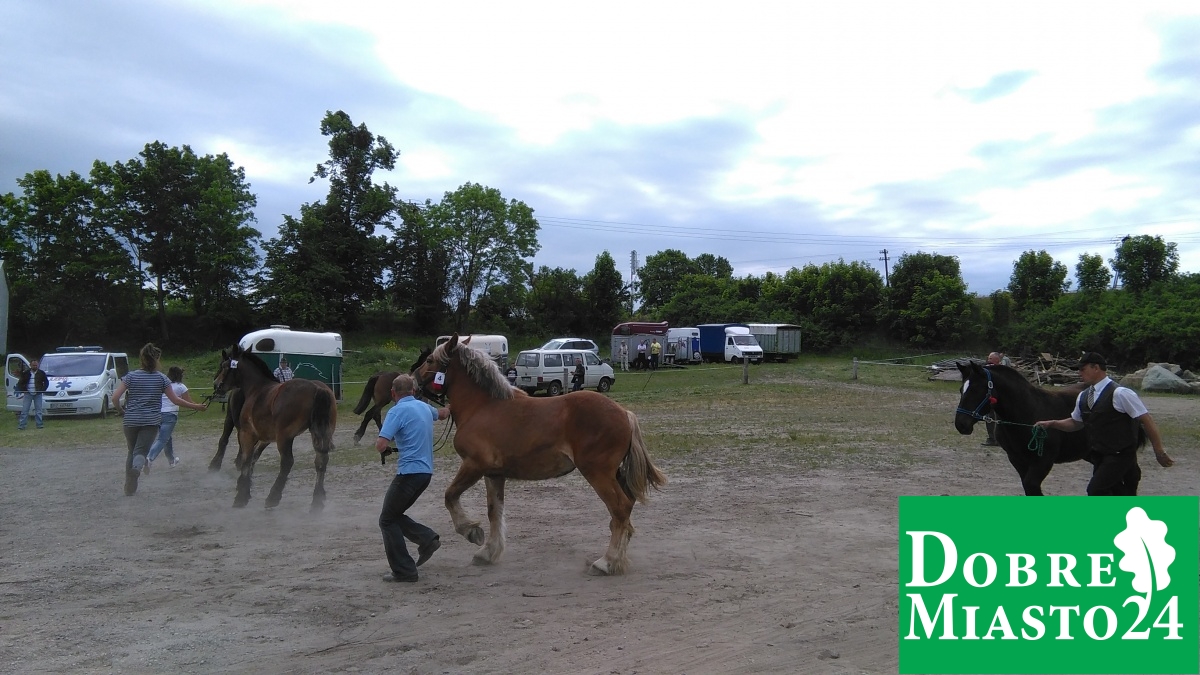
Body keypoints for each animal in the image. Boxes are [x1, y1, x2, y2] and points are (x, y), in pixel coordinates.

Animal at [213, 345, 338, 511]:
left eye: (225, 366)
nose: (216, 384)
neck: (257, 389)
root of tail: (317, 388)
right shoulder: (265, 437)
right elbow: (252, 459)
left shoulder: (248, 433)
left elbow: (246, 460)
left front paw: (241, 496)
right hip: (321, 433)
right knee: (321, 461)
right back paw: (316, 502)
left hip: (284, 437)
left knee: (287, 462)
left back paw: (273, 497)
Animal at [412, 334, 666, 575]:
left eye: (429, 360)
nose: (412, 382)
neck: (482, 406)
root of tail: (625, 414)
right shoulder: (493, 474)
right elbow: (494, 511)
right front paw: (488, 552)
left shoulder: (473, 465)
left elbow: (450, 496)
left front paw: (471, 531)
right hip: (614, 474)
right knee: (625, 510)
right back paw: (618, 560)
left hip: (598, 473)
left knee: (620, 509)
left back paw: (607, 562)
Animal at [954, 361, 1091, 495]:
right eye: (961, 389)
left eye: (975, 390)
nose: (961, 424)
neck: (1028, 412)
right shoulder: (1016, 459)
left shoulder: (1043, 461)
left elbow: (1031, 486)